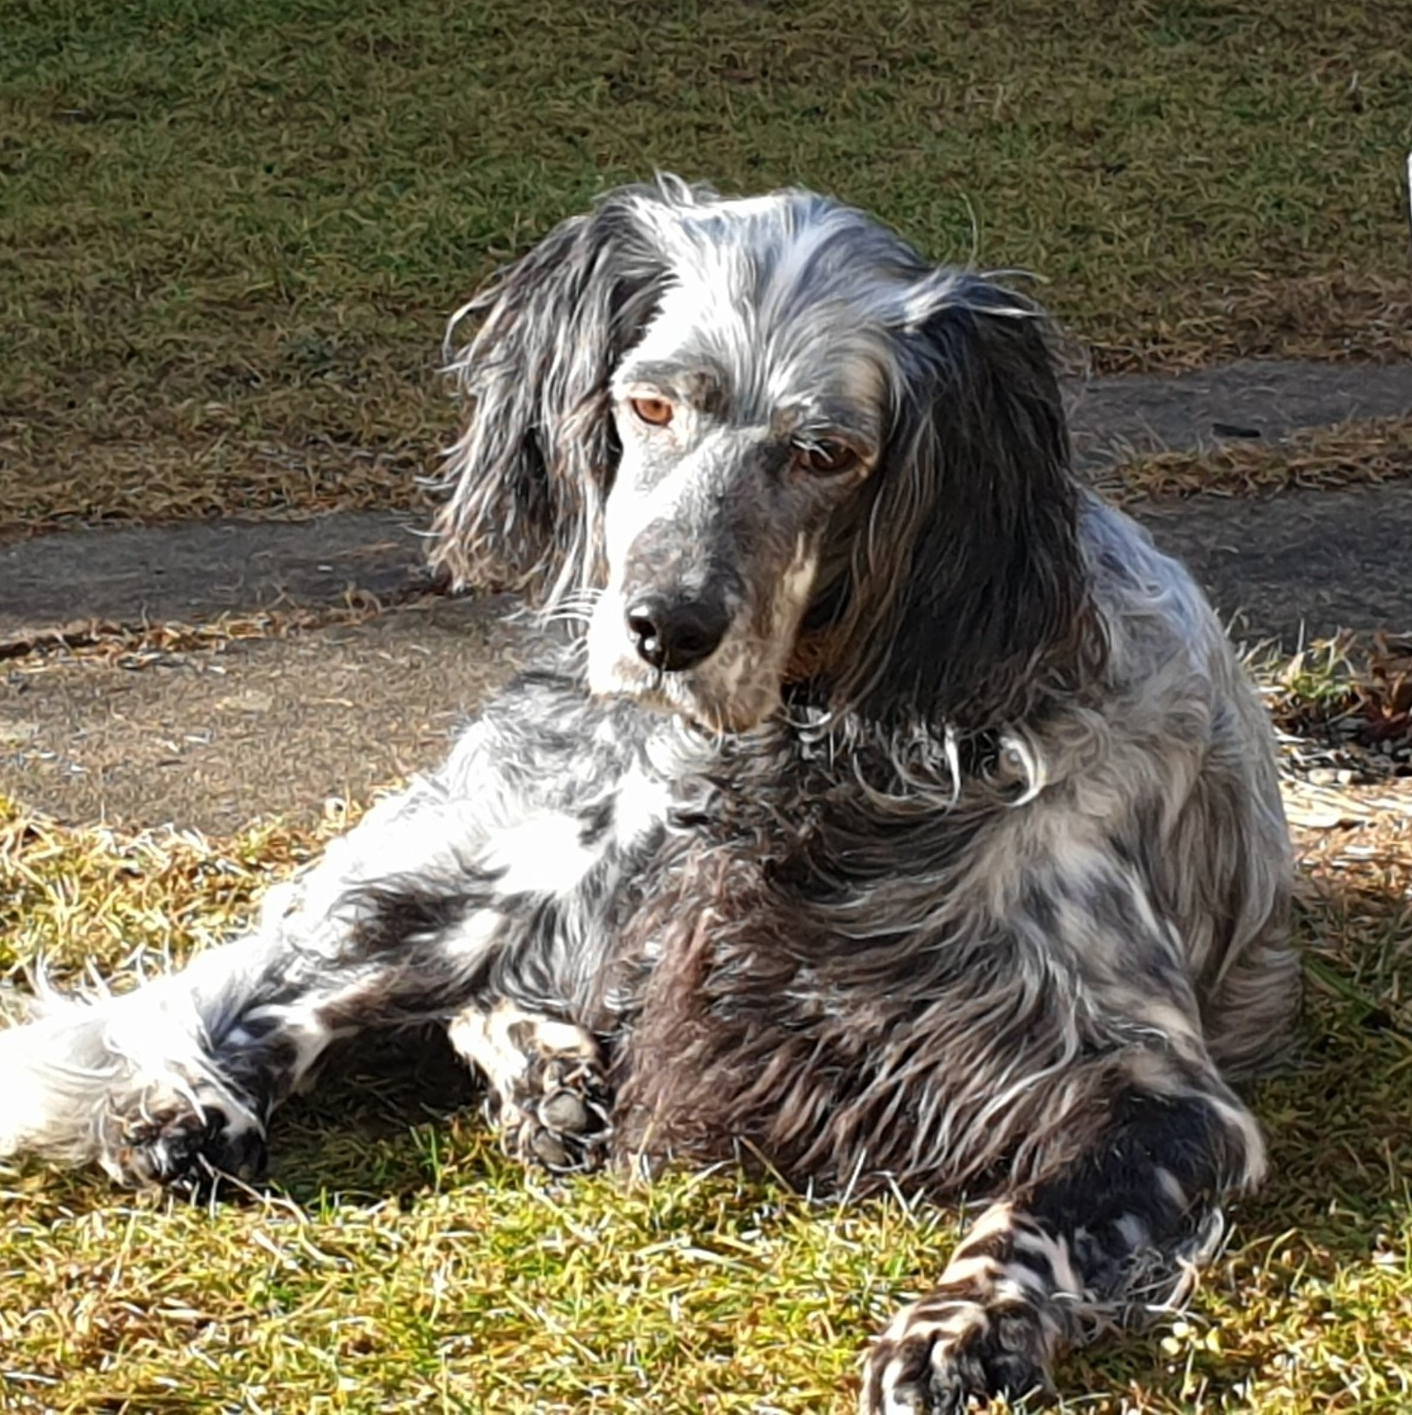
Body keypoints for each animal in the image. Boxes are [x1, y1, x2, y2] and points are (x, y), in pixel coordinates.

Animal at [0, 177, 1297, 1410]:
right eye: (651, 406)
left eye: (824, 454)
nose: (662, 627)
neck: (813, 752)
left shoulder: (1163, 1094)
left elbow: (1038, 1215)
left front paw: (961, 1323)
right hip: (526, 863)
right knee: (306, 988)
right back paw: (201, 1102)